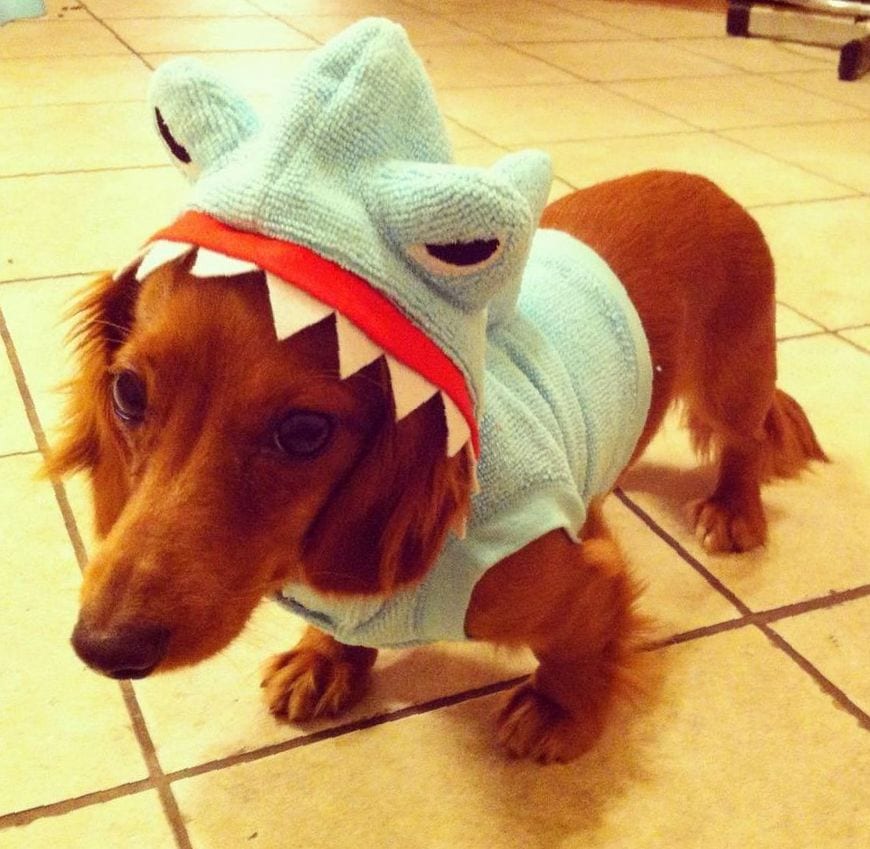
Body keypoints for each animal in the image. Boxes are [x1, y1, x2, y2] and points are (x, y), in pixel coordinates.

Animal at [49, 166, 832, 760]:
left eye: (303, 432)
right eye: (127, 392)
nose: (103, 647)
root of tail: (704, 182)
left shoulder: (576, 576)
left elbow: (579, 648)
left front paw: (558, 711)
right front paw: (326, 657)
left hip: (733, 381)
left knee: (744, 439)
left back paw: (734, 508)